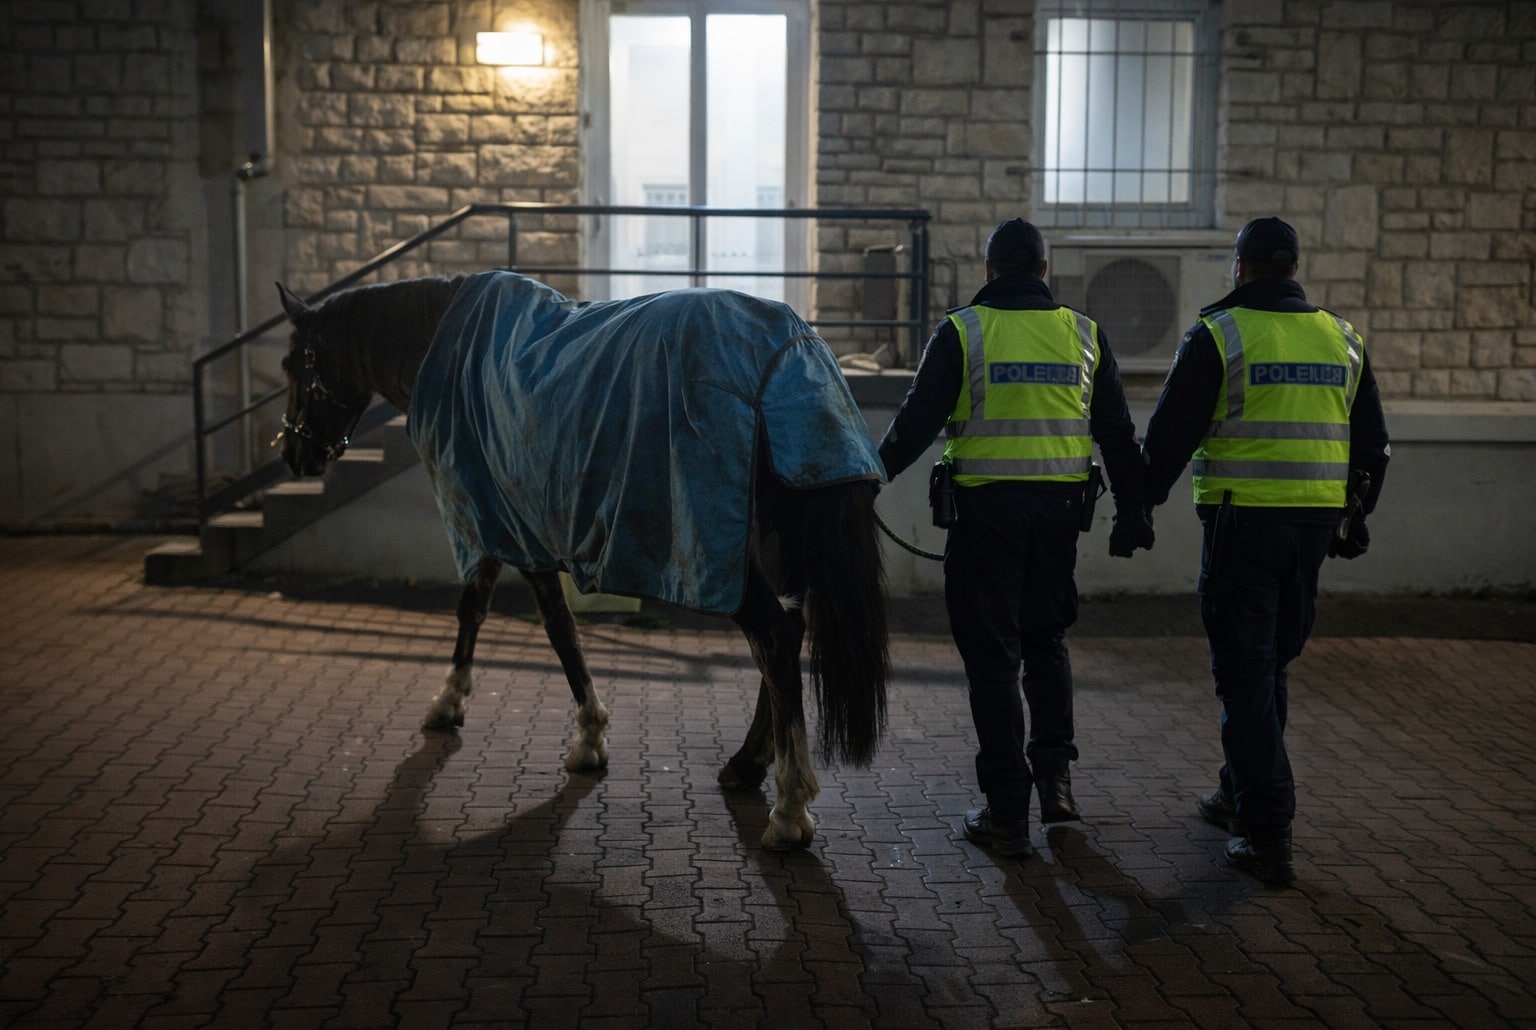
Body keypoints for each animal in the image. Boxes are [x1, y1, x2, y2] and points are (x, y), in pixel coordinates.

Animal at [276, 270, 890, 851]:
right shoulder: (499, 522)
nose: (294, 455)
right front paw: (453, 701)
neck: (442, 343)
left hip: (725, 552)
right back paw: (747, 764)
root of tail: (793, 348)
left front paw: (587, 737)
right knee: (789, 632)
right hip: (779, 538)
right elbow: (478, 609)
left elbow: (554, 628)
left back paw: (789, 810)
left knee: (775, 638)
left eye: (289, 364)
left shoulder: (502, 522)